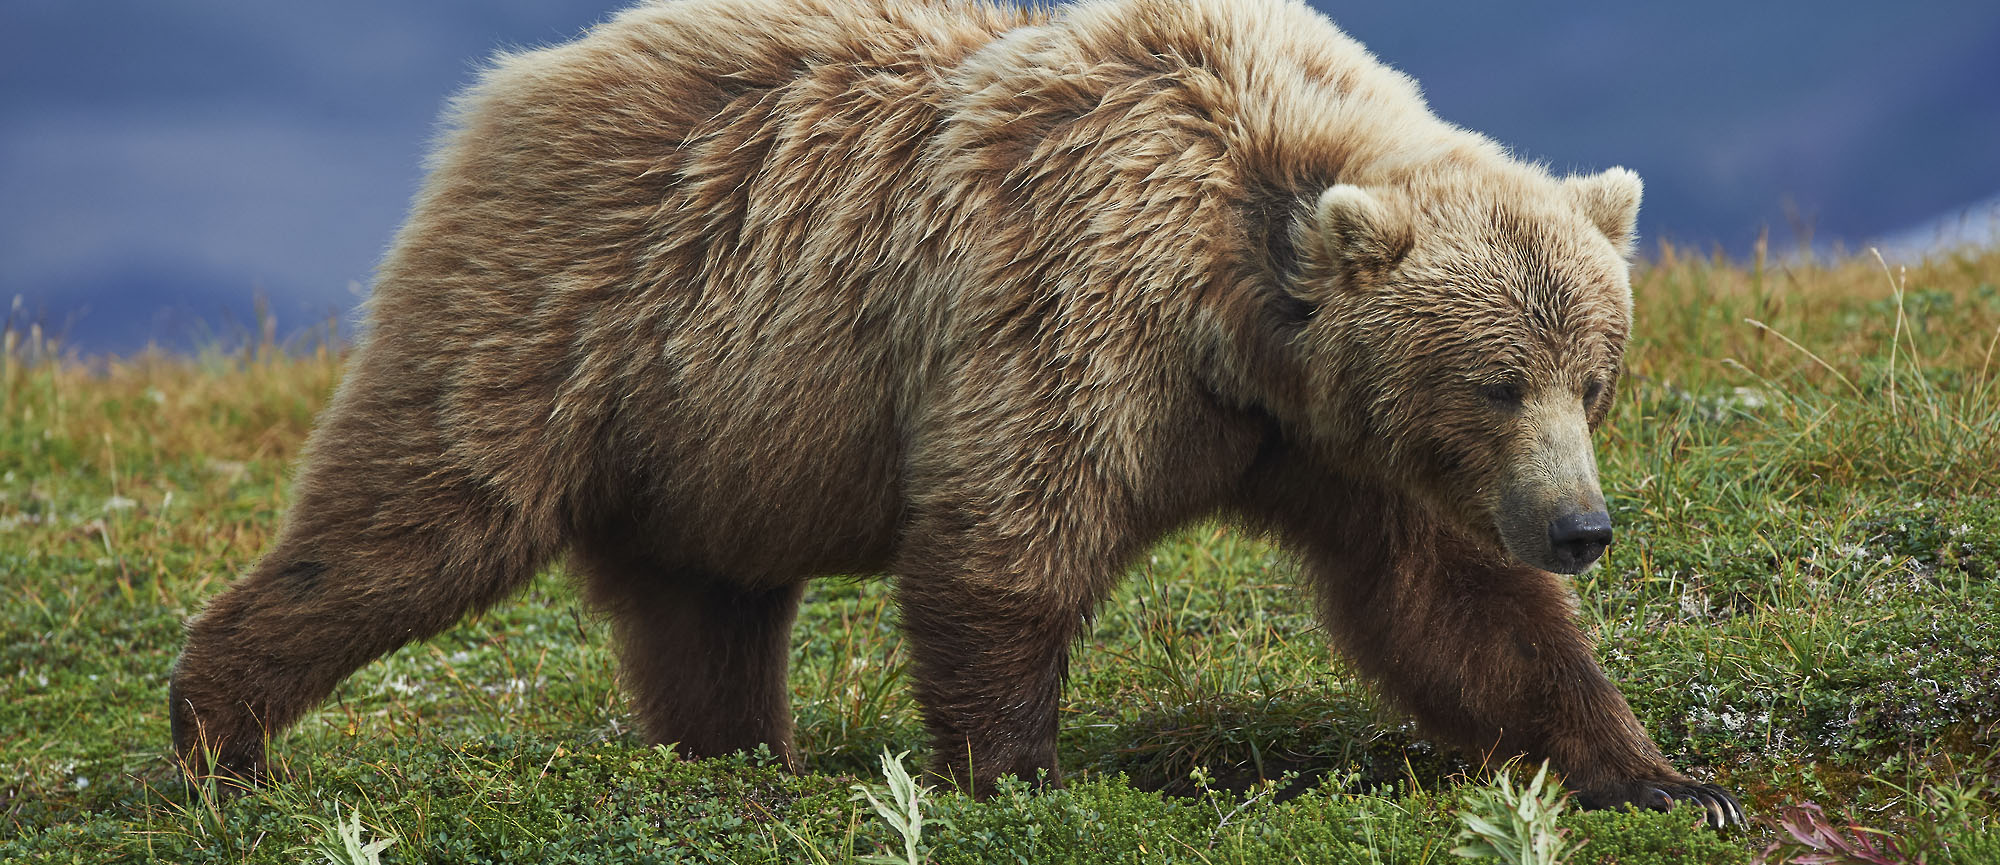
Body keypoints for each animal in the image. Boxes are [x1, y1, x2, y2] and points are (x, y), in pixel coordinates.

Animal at [172, 0, 1744, 824]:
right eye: (1496, 379)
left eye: (1594, 374)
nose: (1581, 525)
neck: (1249, 301)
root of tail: (517, 82)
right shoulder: (1079, 312)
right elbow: (1010, 532)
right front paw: (1018, 769)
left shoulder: (1333, 443)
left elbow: (1452, 605)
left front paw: (1656, 772)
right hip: (568, 316)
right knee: (418, 515)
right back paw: (219, 738)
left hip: (718, 428)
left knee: (708, 605)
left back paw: (743, 755)